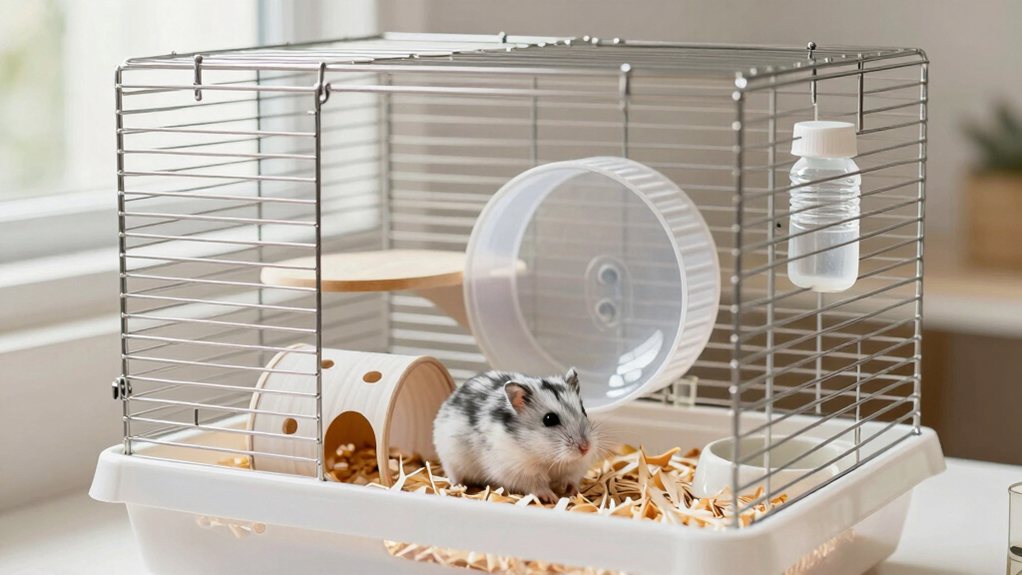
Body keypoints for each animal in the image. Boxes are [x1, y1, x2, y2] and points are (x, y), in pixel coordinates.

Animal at [432, 368, 600, 503]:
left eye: (584, 411)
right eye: (549, 419)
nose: (585, 448)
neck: (547, 457)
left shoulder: (575, 468)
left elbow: (571, 480)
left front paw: (572, 492)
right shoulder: (519, 470)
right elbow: (537, 485)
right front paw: (551, 497)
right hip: (451, 460)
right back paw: (458, 486)